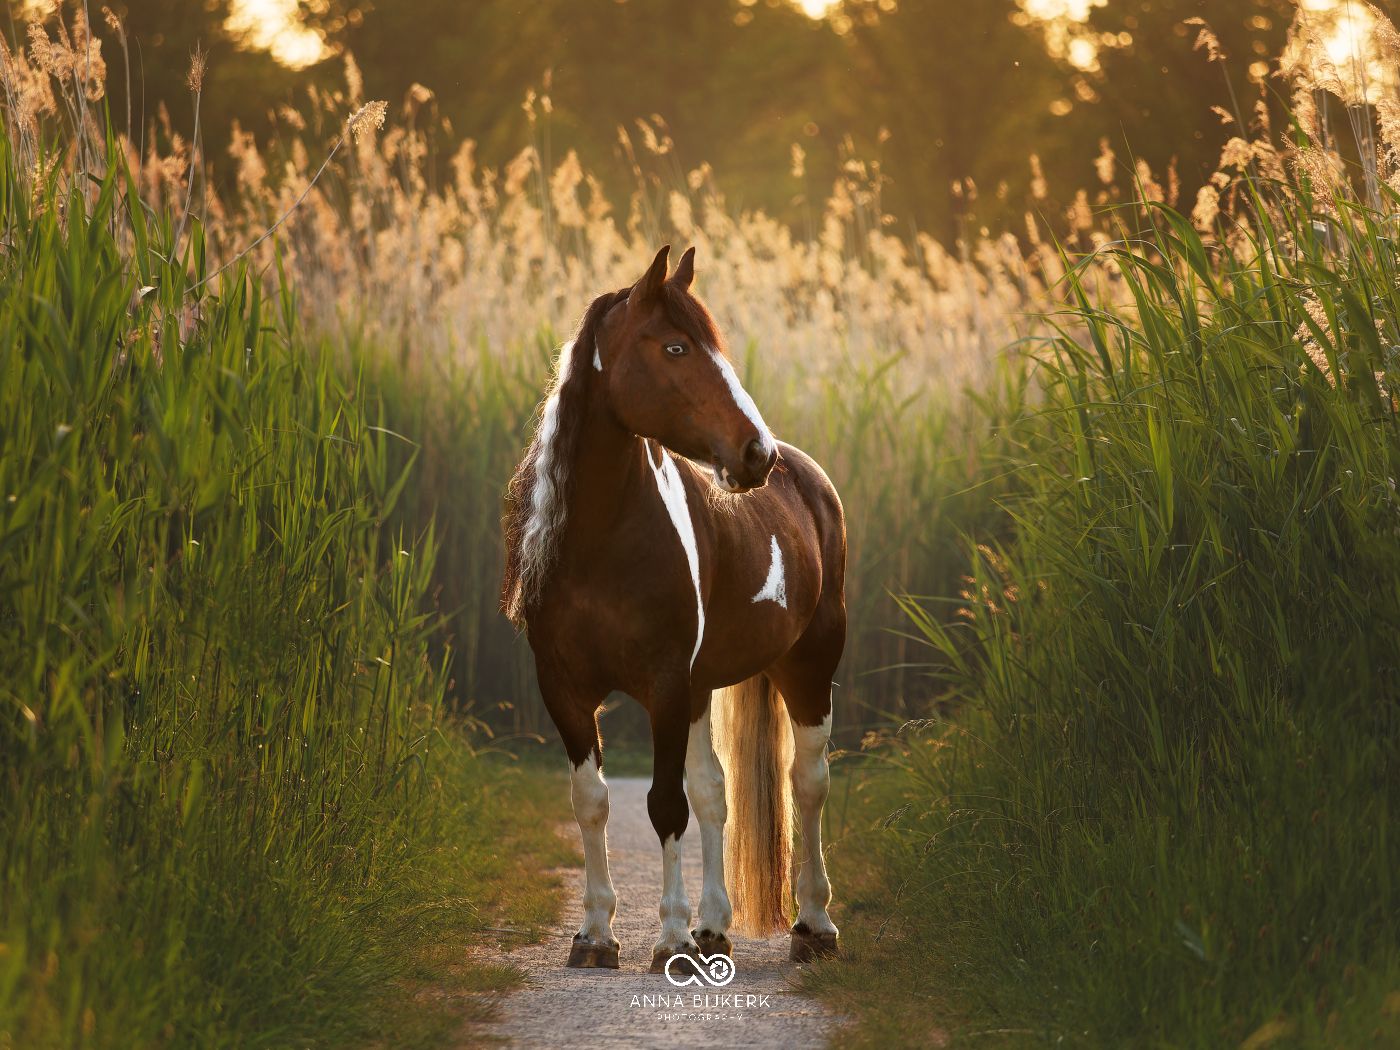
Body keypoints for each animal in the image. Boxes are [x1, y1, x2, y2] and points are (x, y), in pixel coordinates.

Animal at [501, 244, 846, 973]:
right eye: (676, 347)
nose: (754, 453)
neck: (599, 544)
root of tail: (808, 477)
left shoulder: (663, 686)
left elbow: (664, 804)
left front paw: (670, 938)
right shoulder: (567, 690)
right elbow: (593, 801)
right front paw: (596, 935)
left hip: (809, 668)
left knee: (808, 782)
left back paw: (814, 925)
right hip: (703, 689)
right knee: (716, 792)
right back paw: (715, 925)